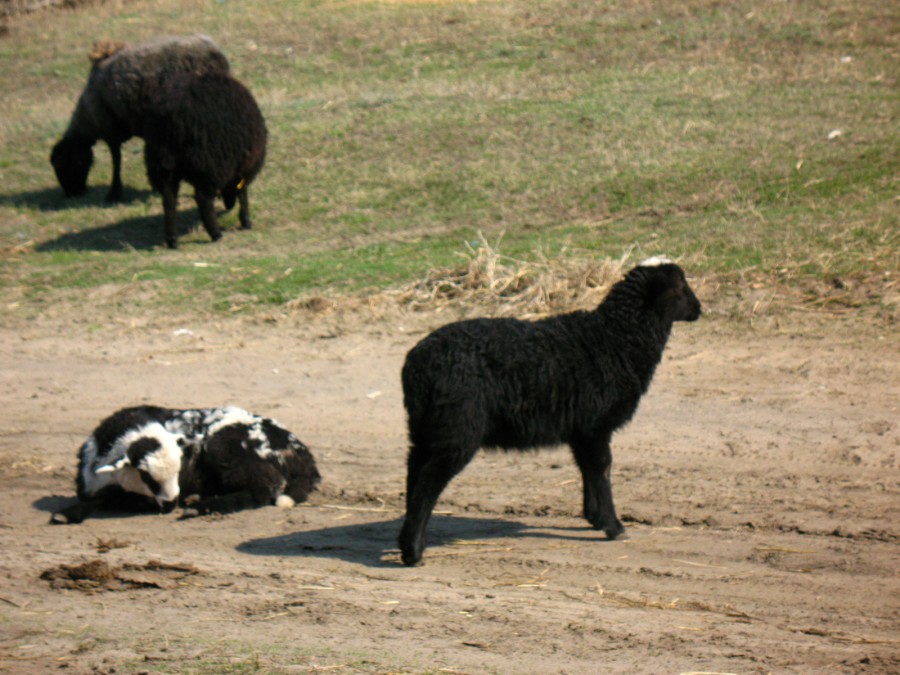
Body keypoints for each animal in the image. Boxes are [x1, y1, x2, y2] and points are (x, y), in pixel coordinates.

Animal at [48, 35, 232, 202]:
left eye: (63, 167)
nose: (71, 195)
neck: (88, 116)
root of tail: (217, 55)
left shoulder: (111, 130)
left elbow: (116, 160)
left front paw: (114, 193)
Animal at [51, 404, 320, 524]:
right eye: (146, 475)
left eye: (179, 468)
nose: (172, 503)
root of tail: (300, 451)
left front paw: (66, 514)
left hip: (226, 445)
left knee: (261, 489)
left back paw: (199, 507)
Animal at [142, 70, 268, 248]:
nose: (228, 205)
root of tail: (173, 115)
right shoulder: (243, 165)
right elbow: (243, 191)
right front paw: (246, 221)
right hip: (208, 163)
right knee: (203, 199)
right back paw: (215, 233)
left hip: (161, 163)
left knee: (169, 199)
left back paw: (172, 239)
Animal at [400, 258, 704, 564]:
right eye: (679, 286)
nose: (699, 309)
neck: (614, 339)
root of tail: (417, 364)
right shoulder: (595, 426)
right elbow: (602, 468)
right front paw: (613, 526)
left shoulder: (582, 430)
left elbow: (587, 469)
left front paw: (594, 517)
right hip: (457, 428)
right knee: (428, 481)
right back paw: (413, 552)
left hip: (426, 427)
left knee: (414, 473)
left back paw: (407, 539)